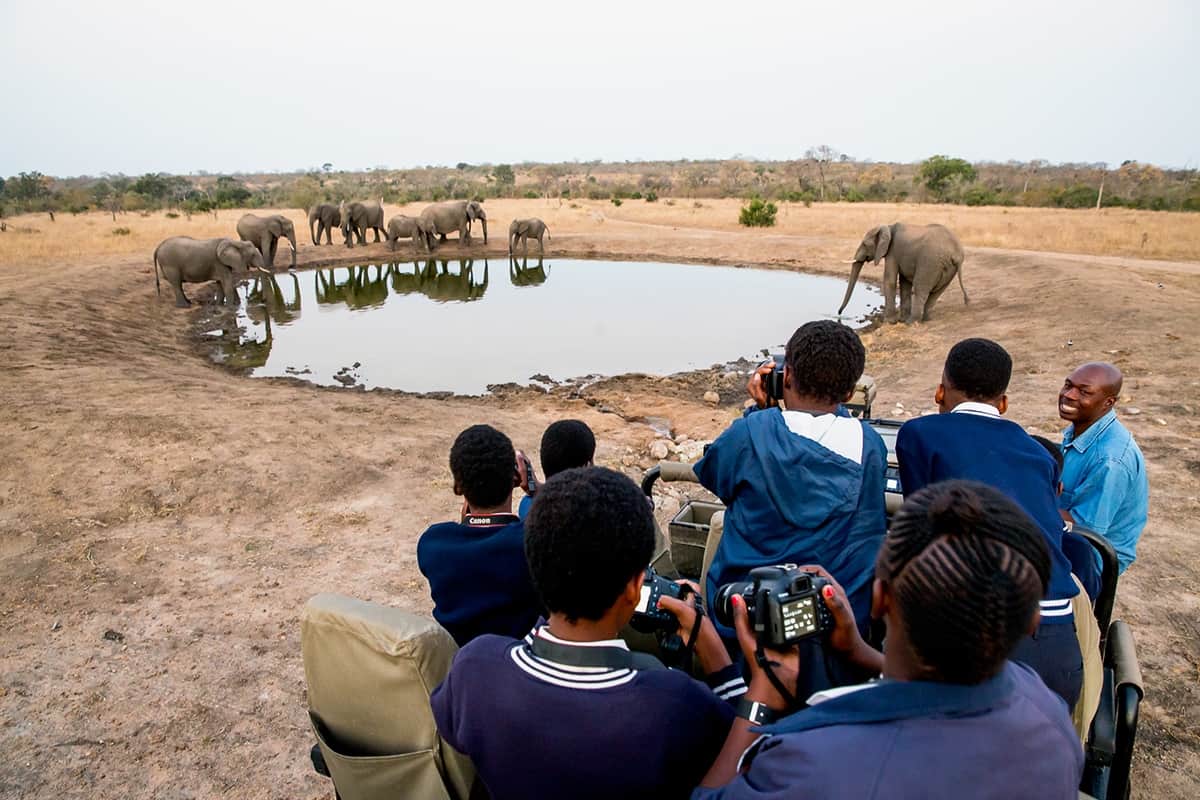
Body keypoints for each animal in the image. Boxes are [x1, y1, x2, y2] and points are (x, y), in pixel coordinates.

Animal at [840, 220, 969, 323]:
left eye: (865, 244)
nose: (839, 313)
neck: (888, 226)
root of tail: (957, 253)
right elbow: (904, 283)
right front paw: (900, 320)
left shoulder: (893, 252)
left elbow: (890, 280)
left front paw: (889, 322)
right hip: (949, 269)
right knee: (937, 292)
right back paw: (925, 319)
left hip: (930, 262)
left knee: (920, 288)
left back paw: (911, 322)